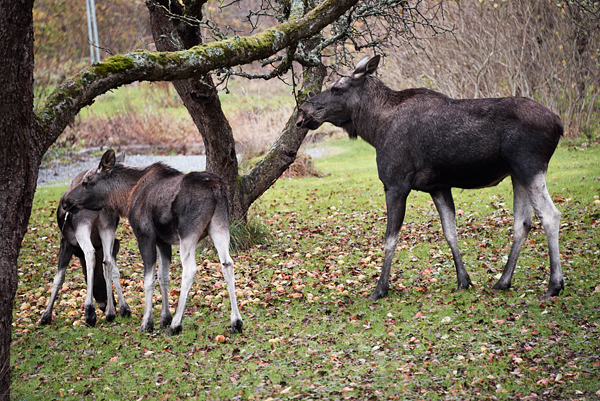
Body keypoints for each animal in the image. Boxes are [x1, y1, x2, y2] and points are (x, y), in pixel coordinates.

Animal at [39, 164, 131, 326]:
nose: (104, 304)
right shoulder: (113, 242)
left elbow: (59, 278)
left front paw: (46, 315)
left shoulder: (66, 242)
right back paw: (111, 313)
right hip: (107, 225)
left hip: (82, 224)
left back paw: (90, 311)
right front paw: (123, 308)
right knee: (107, 260)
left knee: (90, 253)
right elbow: (114, 270)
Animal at [63, 148, 244, 332]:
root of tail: (217, 188)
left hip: (188, 232)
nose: (65, 200)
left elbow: (149, 279)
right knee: (227, 264)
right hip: (219, 226)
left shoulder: (145, 235)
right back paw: (236, 322)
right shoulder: (163, 241)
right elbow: (163, 276)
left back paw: (176, 324)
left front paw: (147, 322)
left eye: (87, 182)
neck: (125, 198)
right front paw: (164, 318)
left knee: (190, 269)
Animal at [298, 54, 564, 300]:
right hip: (516, 175)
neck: (373, 129)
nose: (303, 111)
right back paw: (502, 281)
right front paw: (464, 281)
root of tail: (558, 123)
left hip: (529, 167)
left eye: (337, 88)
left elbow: (390, 239)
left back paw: (554, 285)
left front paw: (380, 289)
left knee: (550, 215)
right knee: (523, 223)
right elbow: (450, 232)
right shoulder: (438, 186)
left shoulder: (396, 184)